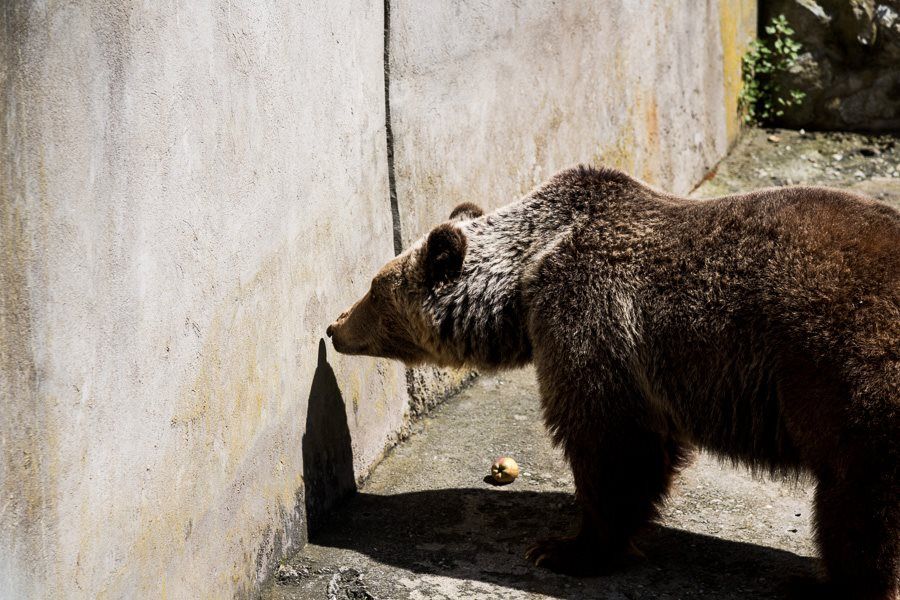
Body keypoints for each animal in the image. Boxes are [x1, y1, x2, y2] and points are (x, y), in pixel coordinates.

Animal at [326, 165, 896, 600]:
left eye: (374, 288)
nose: (334, 327)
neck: (525, 279)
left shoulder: (591, 322)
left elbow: (611, 443)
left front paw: (563, 548)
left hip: (851, 379)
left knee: (854, 505)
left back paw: (829, 585)